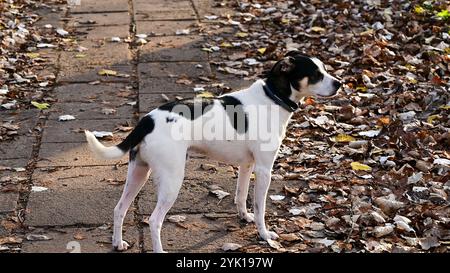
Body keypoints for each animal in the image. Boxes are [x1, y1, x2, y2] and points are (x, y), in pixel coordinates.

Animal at [84, 50, 342, 251]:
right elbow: (260, 208)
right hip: (171, 180)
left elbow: (241, 196)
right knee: (154, 220)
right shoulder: (264, 170)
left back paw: (117, 243)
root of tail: (147, 120)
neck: (273, 96)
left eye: (324, 68)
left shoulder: (247, 165)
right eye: (316, 74)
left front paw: (244, 217)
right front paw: (264, 235)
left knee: (119, 209)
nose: (340, 83)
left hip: (138, 172)